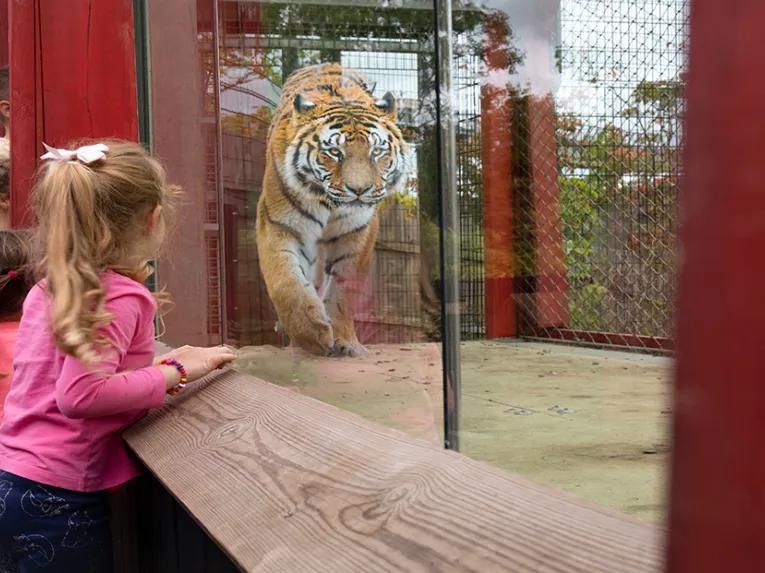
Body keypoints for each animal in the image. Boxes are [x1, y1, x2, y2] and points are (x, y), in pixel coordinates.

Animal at [256, 63, 410, 357]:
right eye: (335, 152)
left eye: (376, 151)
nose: (359, 190)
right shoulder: (278, 223)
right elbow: (285, 281)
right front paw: (312, 334)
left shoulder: (358, 231)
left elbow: (343, 292)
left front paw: (345, 342)